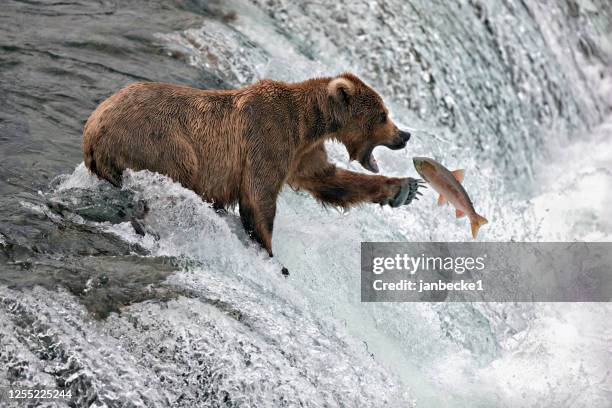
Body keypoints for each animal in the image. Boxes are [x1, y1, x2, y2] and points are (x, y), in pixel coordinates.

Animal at [83, 73, 424, 256]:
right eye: (383, 115)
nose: (404, 135)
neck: (310, 123)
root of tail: (93, 129)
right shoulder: (269, 137)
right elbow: (259, 198)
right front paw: (268, 251)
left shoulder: (303, 153)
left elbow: (328, 179)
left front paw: (405, 188)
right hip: (160, 142)